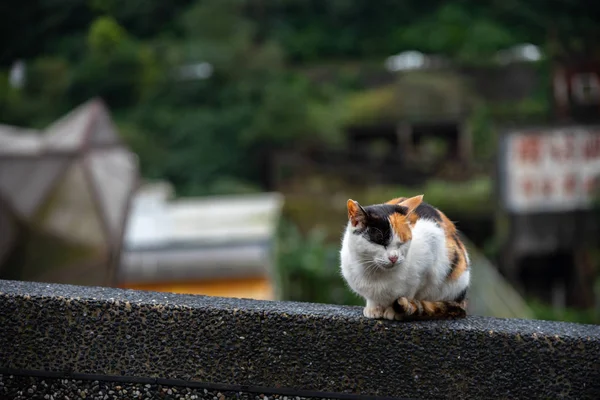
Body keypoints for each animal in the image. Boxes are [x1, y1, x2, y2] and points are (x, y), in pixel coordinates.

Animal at [340, 195, 472, 322]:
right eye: (381, 242)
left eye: (401, 243)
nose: (394, 257)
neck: (376, 273)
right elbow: (373, 298)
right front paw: (374, 308)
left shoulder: (432, 241)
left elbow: (410, 293)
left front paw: (395, 311)